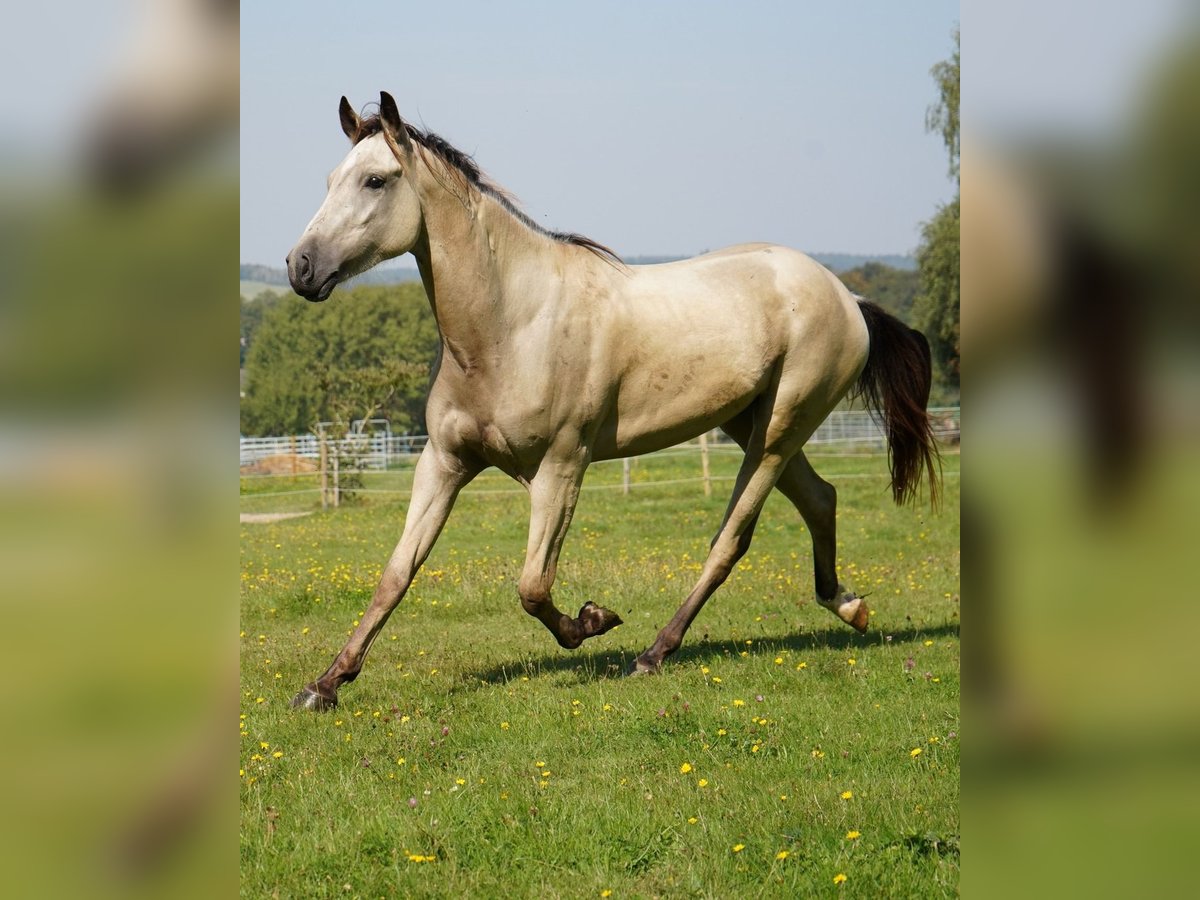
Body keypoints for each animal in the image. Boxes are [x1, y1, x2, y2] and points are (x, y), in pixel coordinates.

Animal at [285, 91, 940, 710]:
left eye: (376, 180)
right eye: (330, 179)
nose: (301, 267)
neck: (509, 325)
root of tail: (848, 297)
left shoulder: (560, 467)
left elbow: (533, 585)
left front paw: (593, 621)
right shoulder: (444, 463)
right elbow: (397, 573)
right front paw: (325, 685)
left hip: (778, 432)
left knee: (730, 540)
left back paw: (654, 653)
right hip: (750, 422)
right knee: (821, 499)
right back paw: (849, 606)